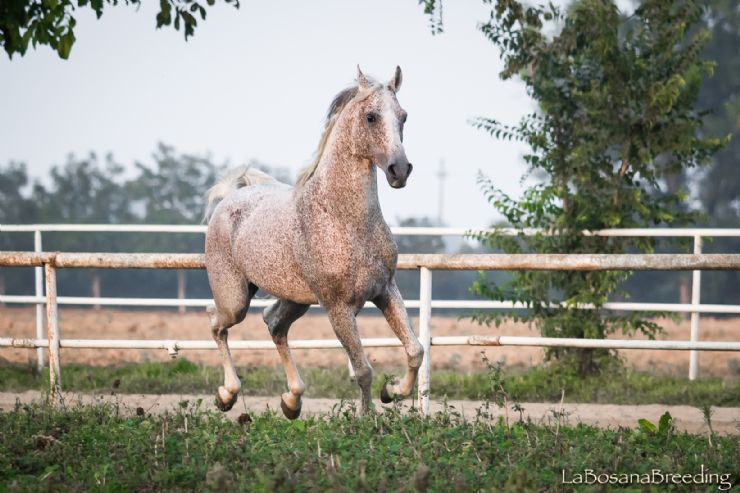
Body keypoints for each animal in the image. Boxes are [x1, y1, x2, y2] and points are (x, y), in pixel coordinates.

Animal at [204, 66, 422, 418]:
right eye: (371, 117)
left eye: (403, 116)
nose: (399, 170)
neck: (344, 219)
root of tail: (230, 198)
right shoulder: (338, 308)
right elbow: (363, 370)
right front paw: (368, 419)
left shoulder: (386, 291)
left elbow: (415, 349)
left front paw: (392, 392)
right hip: (235, 299)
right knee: (216, 323)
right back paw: (227, 395)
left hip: (296, 300)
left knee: (274, 324)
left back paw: (291, 402)